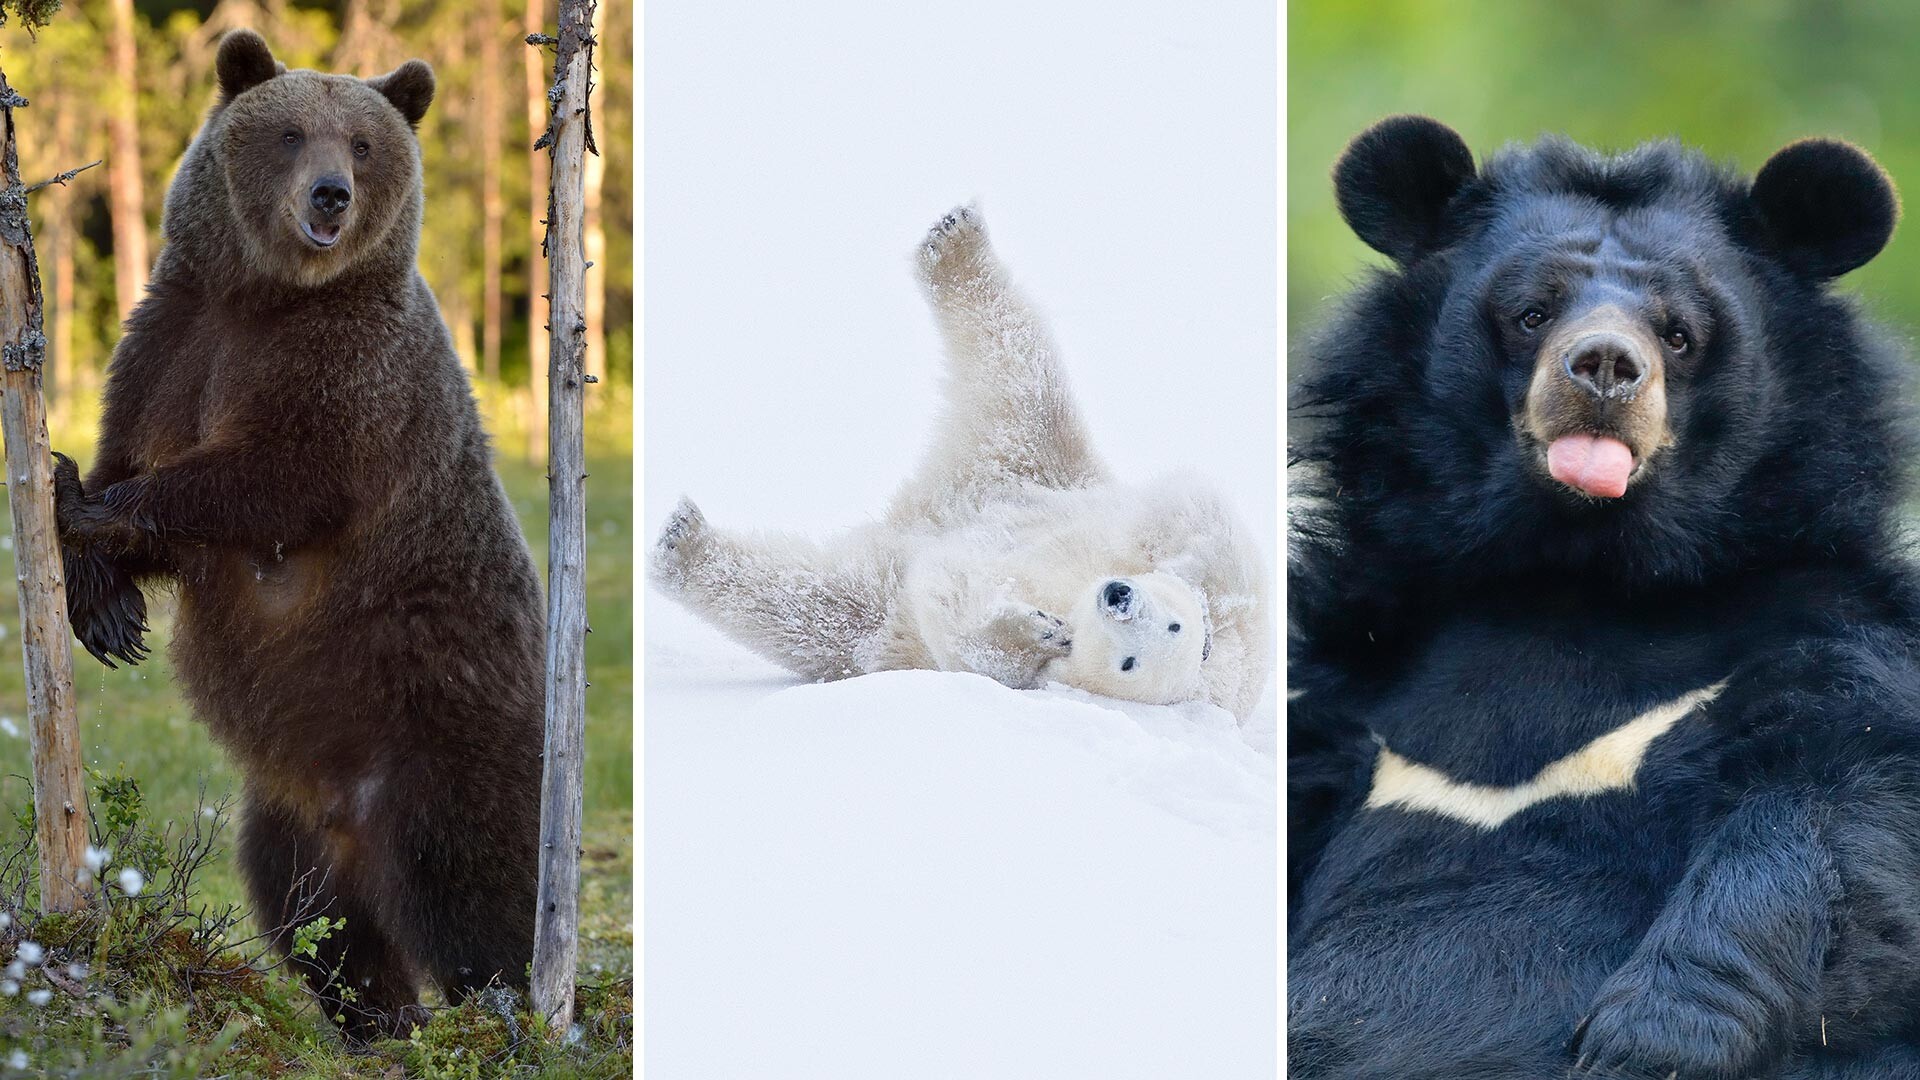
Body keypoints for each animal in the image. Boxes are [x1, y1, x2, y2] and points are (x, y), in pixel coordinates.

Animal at [50, 30, 545, 1040]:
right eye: (289, 133)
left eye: (361, 142)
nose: (330, 195)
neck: (266, 298)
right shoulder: (171, 342)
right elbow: (129, 454)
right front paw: (106, 604)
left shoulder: (352, 379)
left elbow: (274, 481)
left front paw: (92, 512)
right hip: (289, 811)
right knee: (318, 921)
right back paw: (380, 1023)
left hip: (449, 728)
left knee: (472, 891)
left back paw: (505, 1016)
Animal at [651, 205, 1272, 721]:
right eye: (1172, 621)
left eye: (1130, 663)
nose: (1117, 598)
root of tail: (936, 505)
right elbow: (1204, 525)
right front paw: (1182, 580)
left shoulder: (1029, 679)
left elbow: (971, 642)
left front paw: (1036, 631)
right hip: (1032, 466)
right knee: (1023, 370)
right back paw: (953, 240)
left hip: (892, 596)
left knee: (809, 605)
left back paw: (681, 547)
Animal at [1288, 116, 1920, 1079]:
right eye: (1532, 312)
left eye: (1681, 333)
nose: (1605, 367)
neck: (1577, 575)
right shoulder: (1338, 687)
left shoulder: (1836, 630)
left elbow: (1847, 807)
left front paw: (1647, 1039)